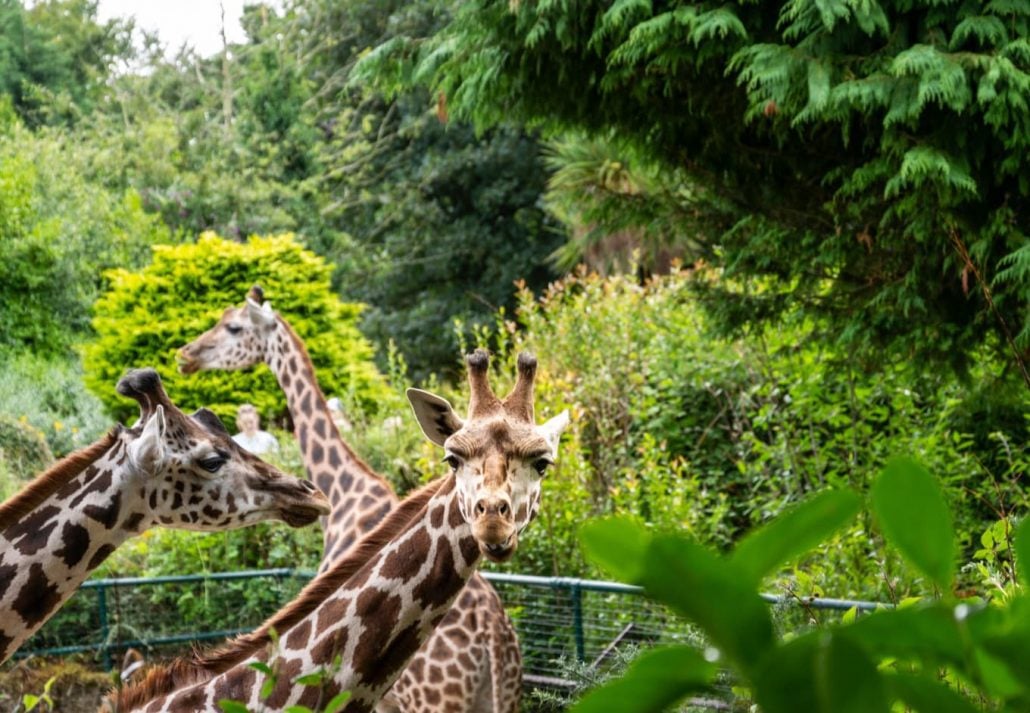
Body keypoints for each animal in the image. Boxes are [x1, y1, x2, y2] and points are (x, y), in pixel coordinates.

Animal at [176, 286, 523, 708]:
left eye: (234, 327)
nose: (187, 355)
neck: (344, 493)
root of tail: (492, 633)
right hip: (502, 694)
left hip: (435, 701)